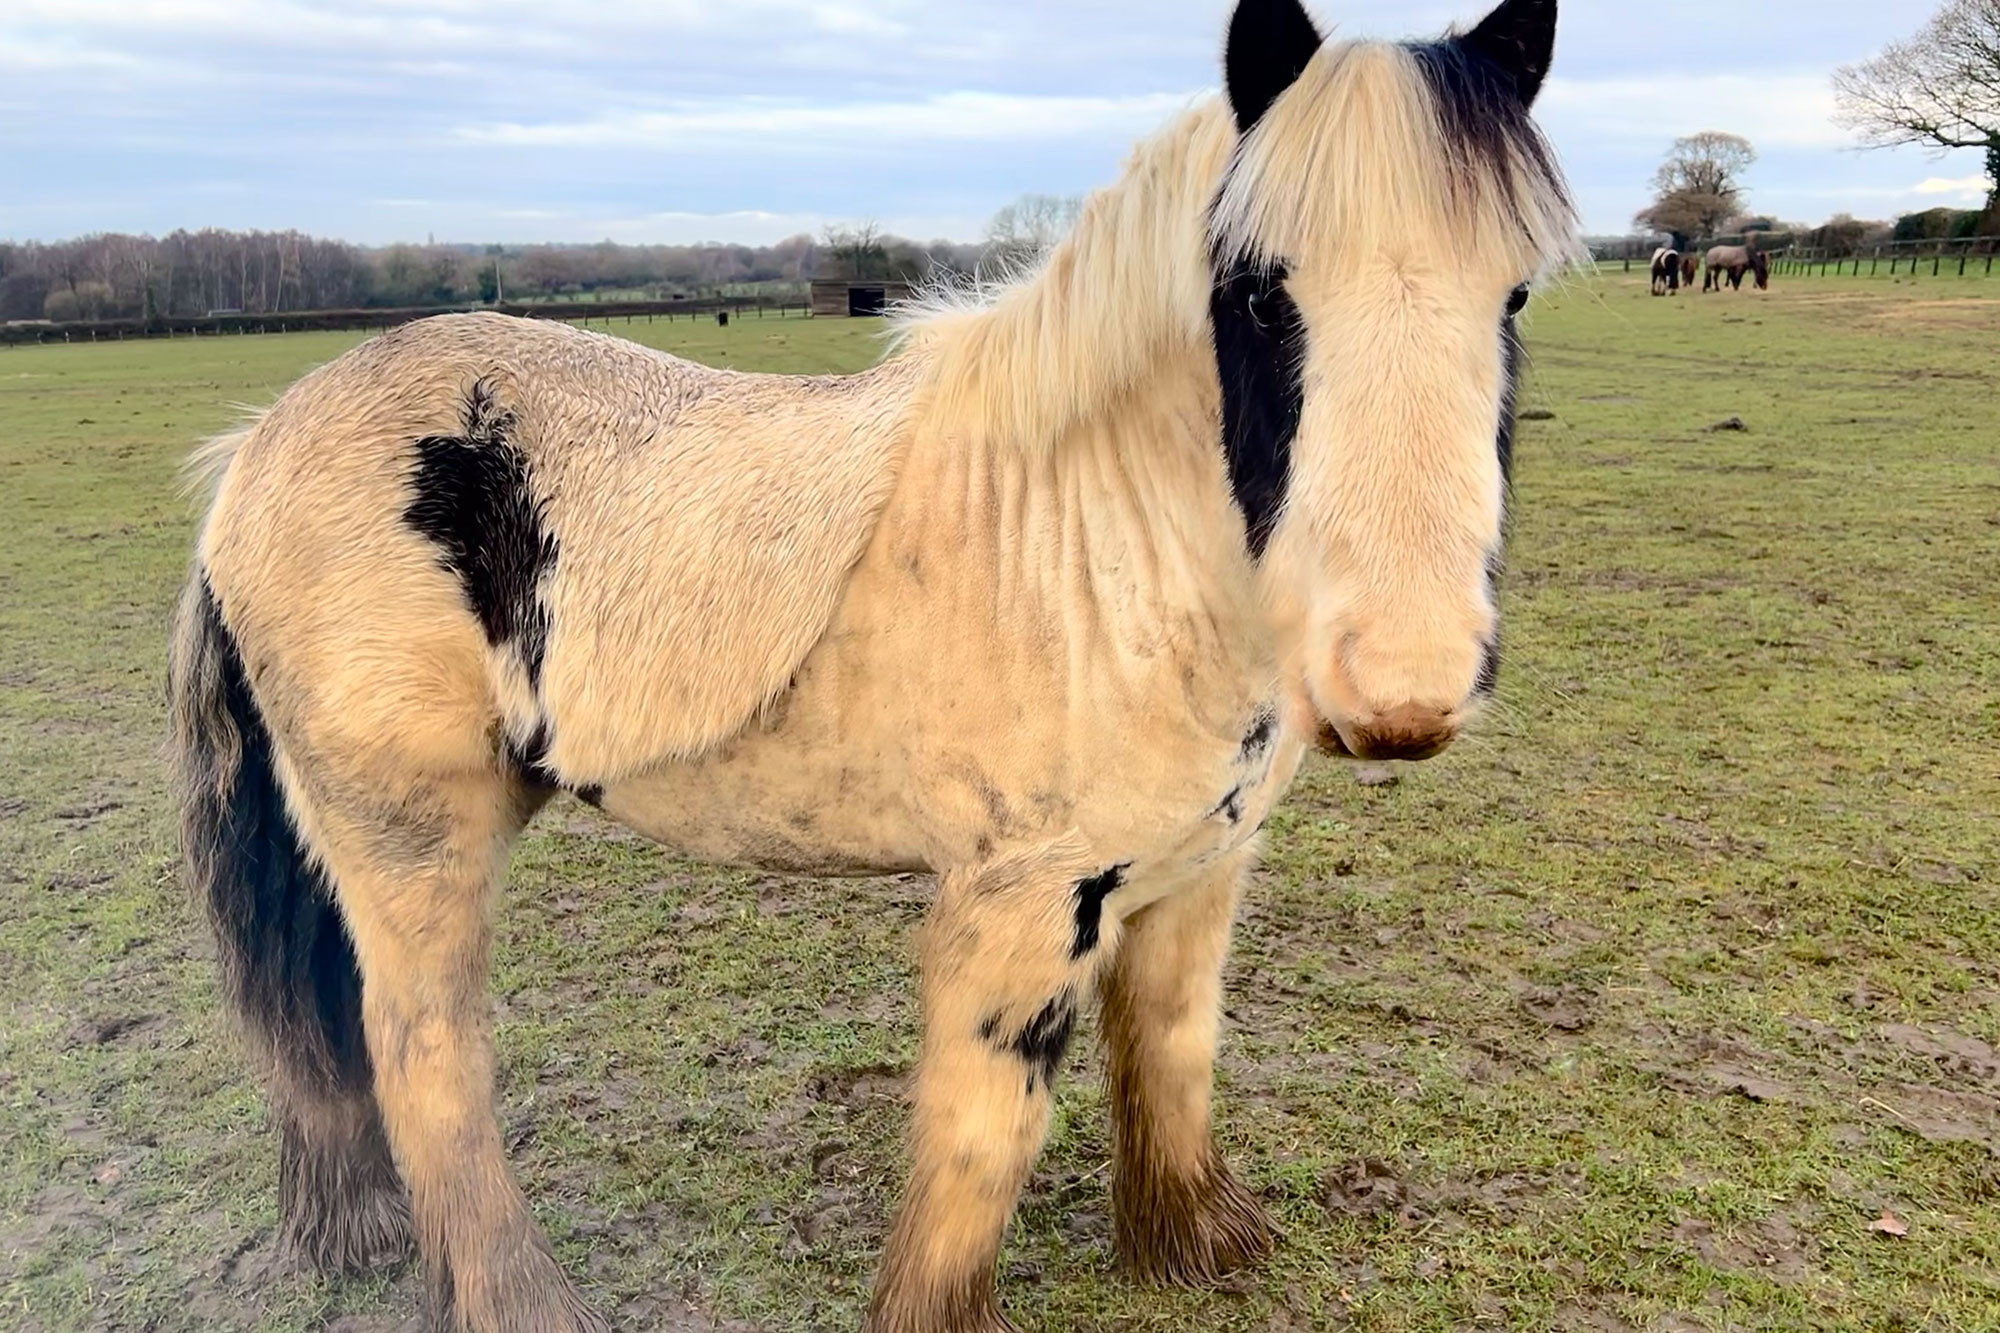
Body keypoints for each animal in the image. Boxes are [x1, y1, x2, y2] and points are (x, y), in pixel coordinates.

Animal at [168, 2, 1576, 1328]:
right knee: (424, 1063)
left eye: (1511, 294)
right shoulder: (1025, 906)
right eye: (1257, 292)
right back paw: (522, 1301)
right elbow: (981, 1141)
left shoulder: (1195, 874)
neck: (1088, 539)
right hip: (411, 843)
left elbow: (1174, 1053)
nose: (1400, 689)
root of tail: (256, 443)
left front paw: (1192, 1246)